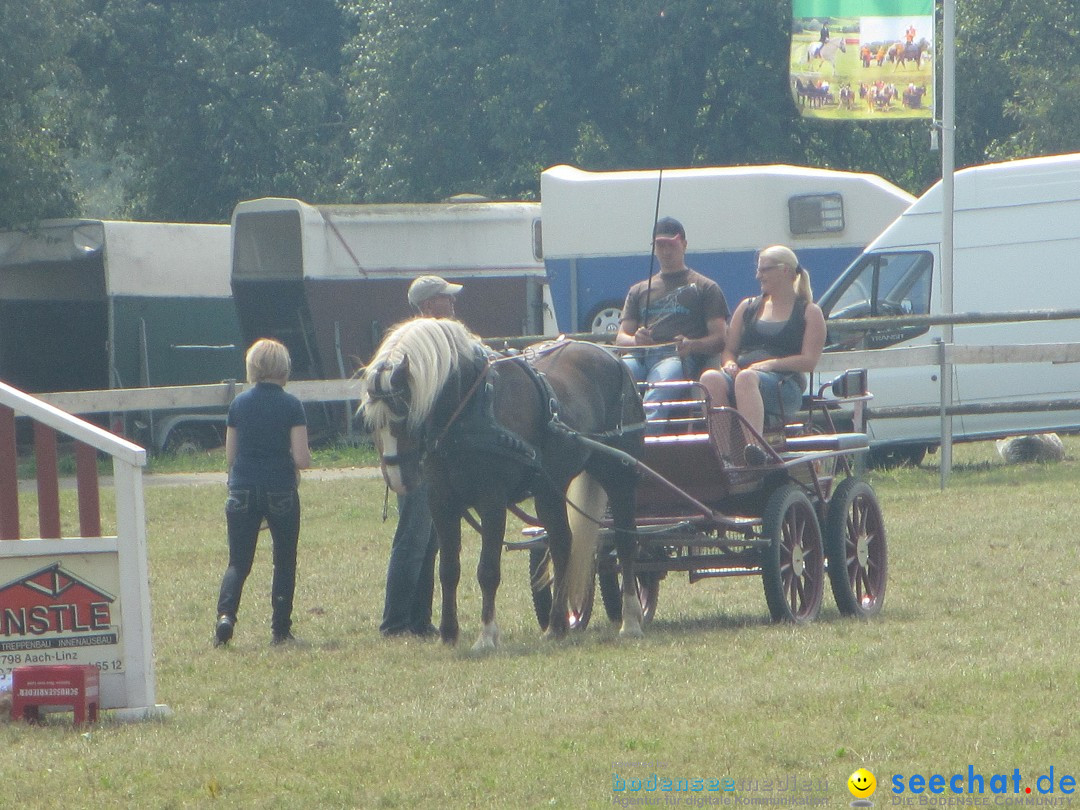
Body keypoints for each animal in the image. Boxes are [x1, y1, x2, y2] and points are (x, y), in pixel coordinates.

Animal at [358, 319, 643, 652]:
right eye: (370, 421)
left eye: (404, 411)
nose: (397, 478)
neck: (469, 409)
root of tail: (612, 356)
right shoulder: (441, 502)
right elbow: (448, 570)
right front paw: (448, 633)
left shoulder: (491, 500)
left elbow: (488, 571)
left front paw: (486, 636)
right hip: (550, 488)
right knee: (562, 544)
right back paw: (556, 626)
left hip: (619, 475)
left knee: (626, 542)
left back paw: (631, 620)